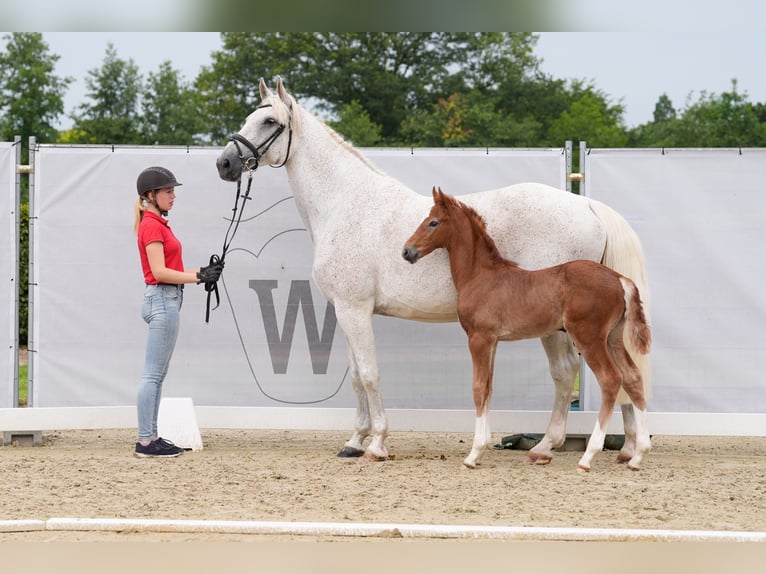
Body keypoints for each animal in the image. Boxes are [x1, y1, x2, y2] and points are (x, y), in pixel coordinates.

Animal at [402, 189, 656, 472]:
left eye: (433, 222)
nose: (407, 251)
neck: (480, 276)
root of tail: (620, 279)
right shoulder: (493, 341)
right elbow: (488, 387)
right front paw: (481, 449)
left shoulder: (479, 338)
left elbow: (478, 388)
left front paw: (473, 455)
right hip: (613, 339)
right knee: (633, 378)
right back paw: (638, 455)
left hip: (589, 339)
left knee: (611, 380)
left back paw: (588, 457)